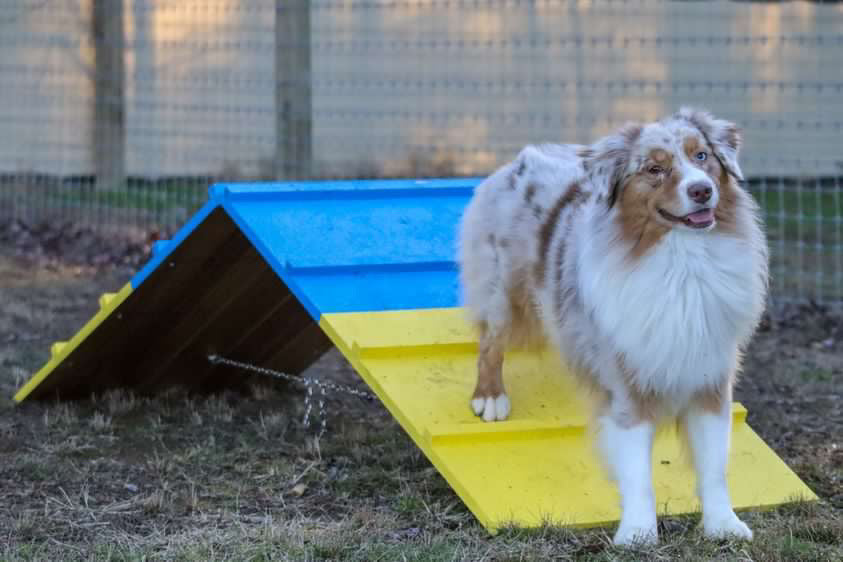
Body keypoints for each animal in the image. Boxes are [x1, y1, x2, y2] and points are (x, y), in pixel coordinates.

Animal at [458, 106, 768, 544]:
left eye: (702, 156)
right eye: (655, 168)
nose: (702, 190)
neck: (682, 260)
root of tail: (521, 159)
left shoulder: (709, 378)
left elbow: (714, 465)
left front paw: (723, 525)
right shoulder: (626, 388)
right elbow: (637, 471)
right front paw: (638, 533)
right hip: (502, 290)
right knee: (489, 343)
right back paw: (490, 398)